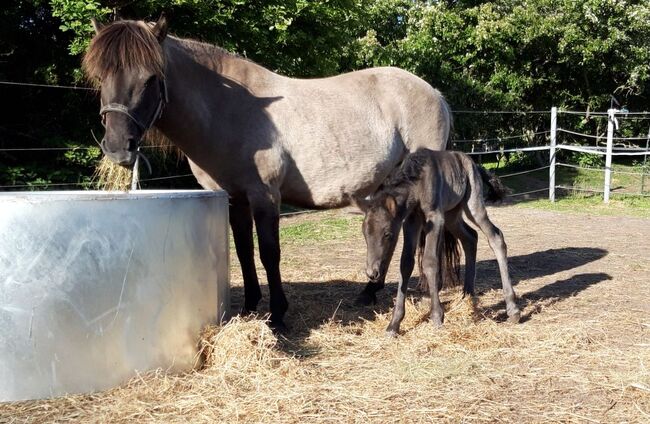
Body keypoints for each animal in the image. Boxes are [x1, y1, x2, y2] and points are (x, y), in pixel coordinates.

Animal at [85, 15, 450, 328]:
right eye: (101, 77)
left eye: (150, 78)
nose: (117, 147)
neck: (229, 111)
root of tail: (435, 94)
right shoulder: (234, 198)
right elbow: (244, 252)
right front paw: (249, 307)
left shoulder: (264, 196)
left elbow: (269, 253)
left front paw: (277, 314)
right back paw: (368, 292)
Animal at [356, 151, 520, 336]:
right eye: (365, 234)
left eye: (387, 234)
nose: (372, 273)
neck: (417, 182)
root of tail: (473, 163)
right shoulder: (411, 220)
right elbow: (405, 264)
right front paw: (394, 324)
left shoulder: (435, 218)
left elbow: (430, 262)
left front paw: (437, 317)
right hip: (452, 214)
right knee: (470, 237)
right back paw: (467, 296)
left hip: (472, 206)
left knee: (496, 237)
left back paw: (512, 309)